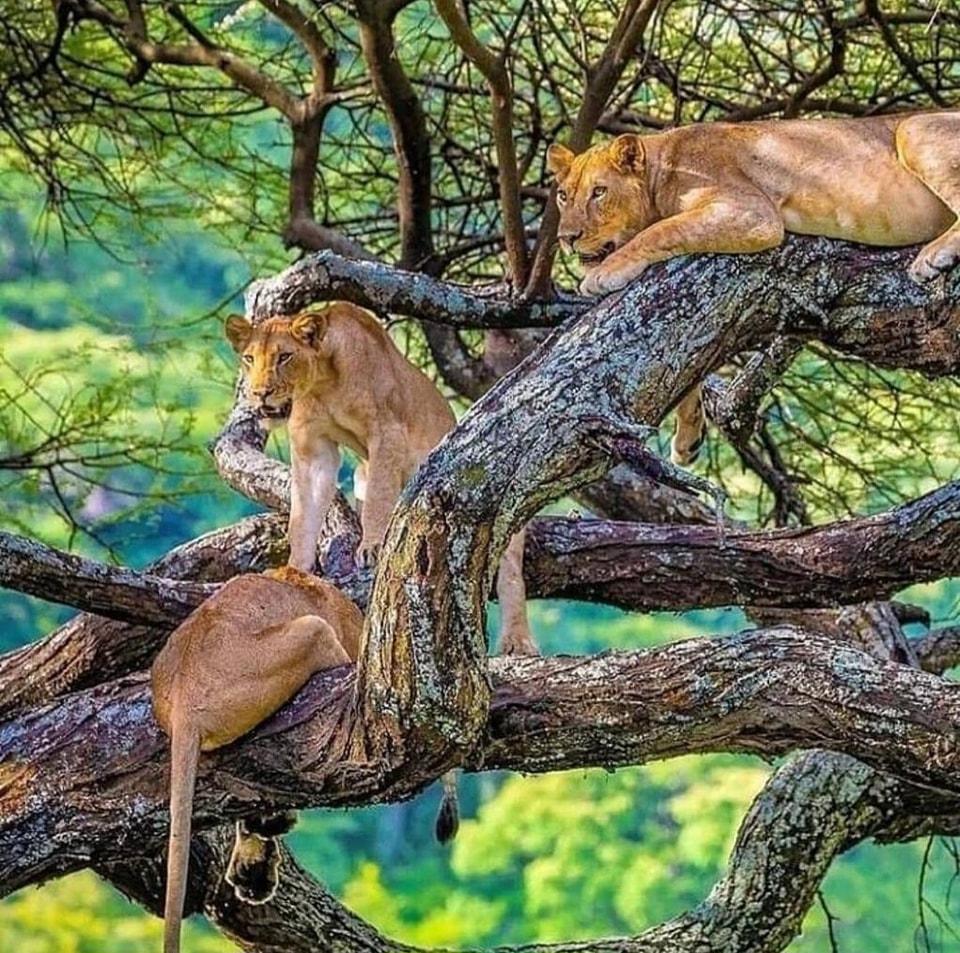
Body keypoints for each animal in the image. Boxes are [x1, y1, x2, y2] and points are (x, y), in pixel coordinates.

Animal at [548, 109, 960, 462]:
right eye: (563, 195)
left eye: (599, 192)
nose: (566, 237)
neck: (660, 169)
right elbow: (684, 367)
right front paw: (688, 437)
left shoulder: (751, 212)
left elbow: (663, 229)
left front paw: (605, 272)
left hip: (914, 128)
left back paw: (935, 254)